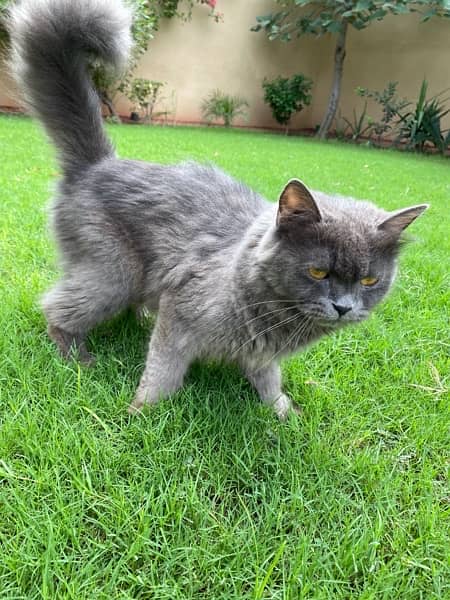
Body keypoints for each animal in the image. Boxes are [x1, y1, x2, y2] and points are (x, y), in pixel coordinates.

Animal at [8, 0, 428, 420]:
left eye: (370, 281)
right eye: (318, 271)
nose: (343, 307)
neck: (280, 317)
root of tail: (98, 164)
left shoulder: (263, 351)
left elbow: (268, 378)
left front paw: (283, 412)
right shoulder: (179, 314)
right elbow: (163, 372)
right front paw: (140, 415)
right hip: (112, 272)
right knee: (56, 309)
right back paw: (76, 357)